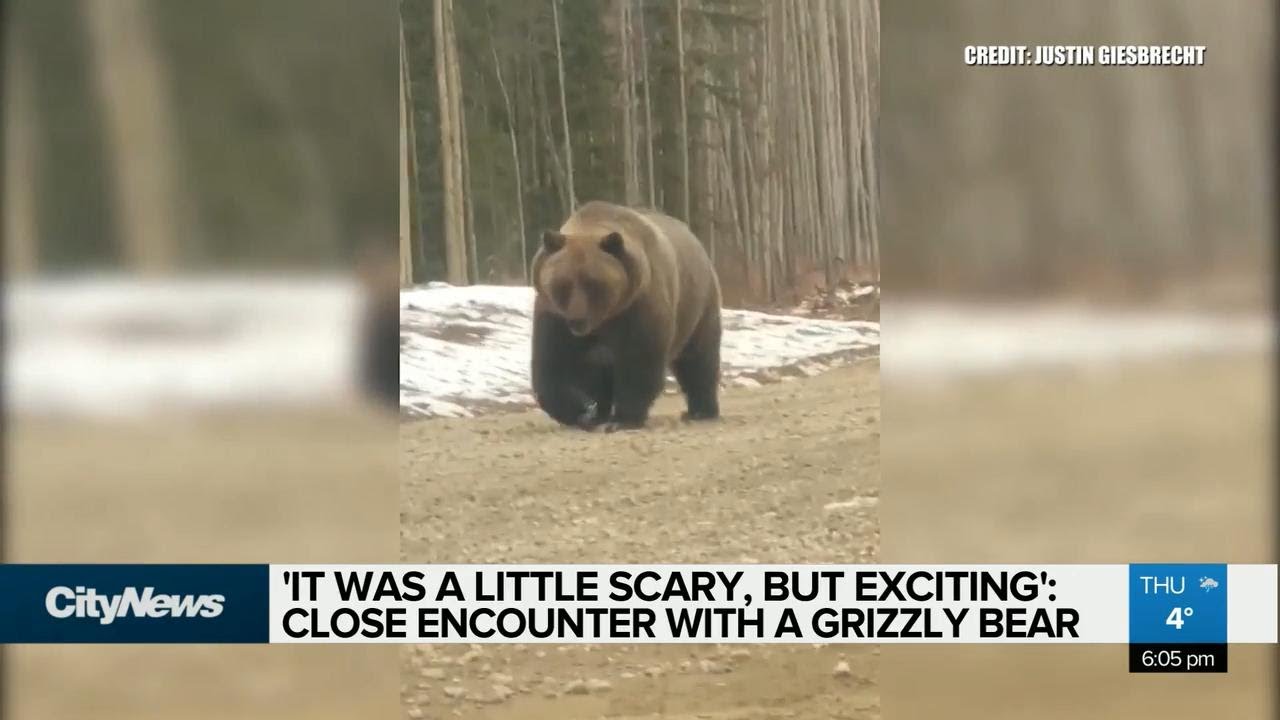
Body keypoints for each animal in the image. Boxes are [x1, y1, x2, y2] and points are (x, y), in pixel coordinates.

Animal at [530, 200, 722, 432]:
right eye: (563, 284)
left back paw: (701, 411)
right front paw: (582, 413)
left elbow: (638, 361)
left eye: (592, 283)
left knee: (698, 359)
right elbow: (554, 364)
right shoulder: (554, 315)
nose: (577, 319)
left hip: (697, 305)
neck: (603, 319)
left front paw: (622, 419)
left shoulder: (637, 308)